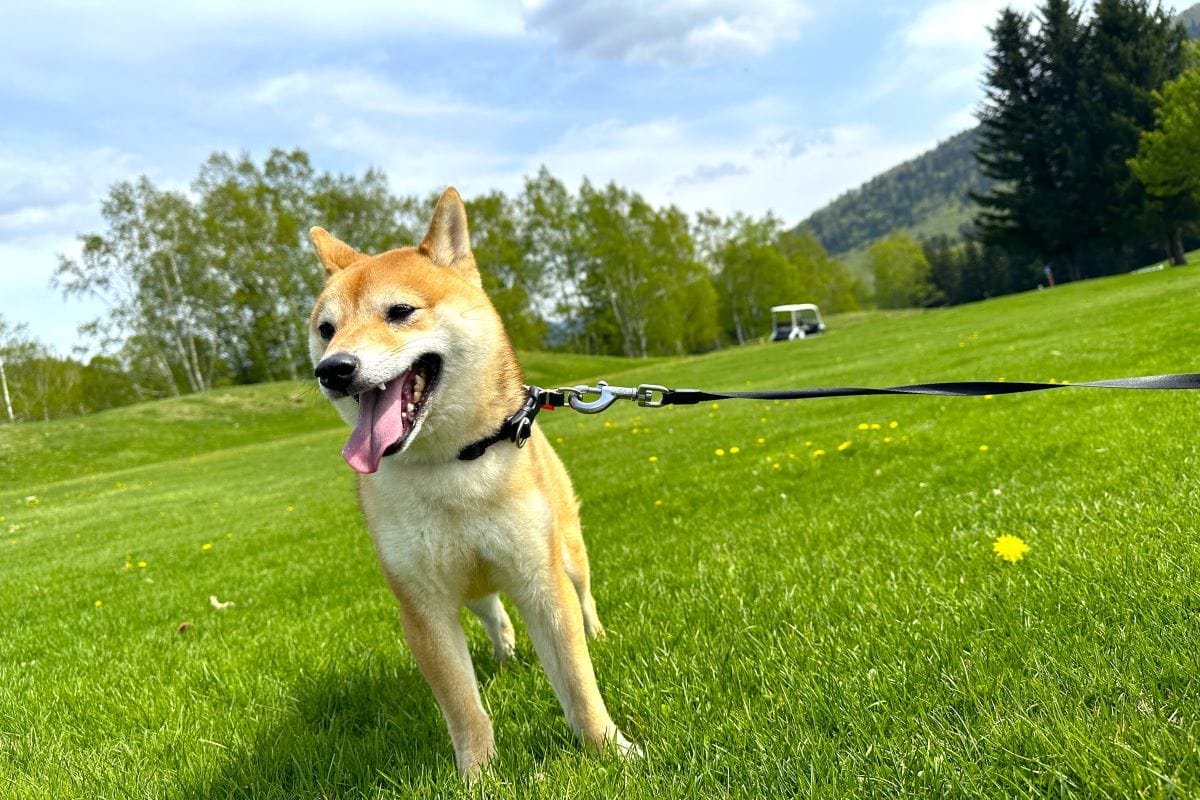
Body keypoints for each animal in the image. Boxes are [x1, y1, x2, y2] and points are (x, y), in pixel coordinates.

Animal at [309, 185, 638, 777]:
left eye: (400, 312)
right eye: (326, 330)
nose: (333, 369)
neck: (454, 464)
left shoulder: (540, 578)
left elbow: (578, 681)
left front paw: (612, 750)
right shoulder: (423, 605)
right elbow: (462, 705)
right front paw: (480, 774)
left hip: (568, 549)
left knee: (584, 595)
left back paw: (596, 632)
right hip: (472, 584)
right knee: (493, 615)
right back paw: (505, 658)